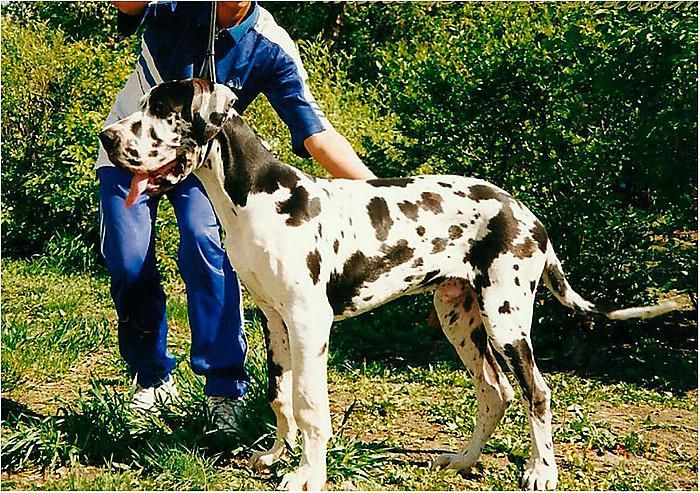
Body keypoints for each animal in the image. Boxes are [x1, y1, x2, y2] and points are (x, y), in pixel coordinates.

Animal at [100, 78, 680, 491]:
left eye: (161, 111)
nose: (106, 137)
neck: (258, 196)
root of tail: (527, 214)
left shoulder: (311, 323)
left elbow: (310, 405)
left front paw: (307, 476)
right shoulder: (275, 319)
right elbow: (281, 395)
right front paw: (280, 456)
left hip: (506, 318)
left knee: (537, 391)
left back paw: (541, 471)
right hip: (459, 318)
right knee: (495, 392)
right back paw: (462, 459)